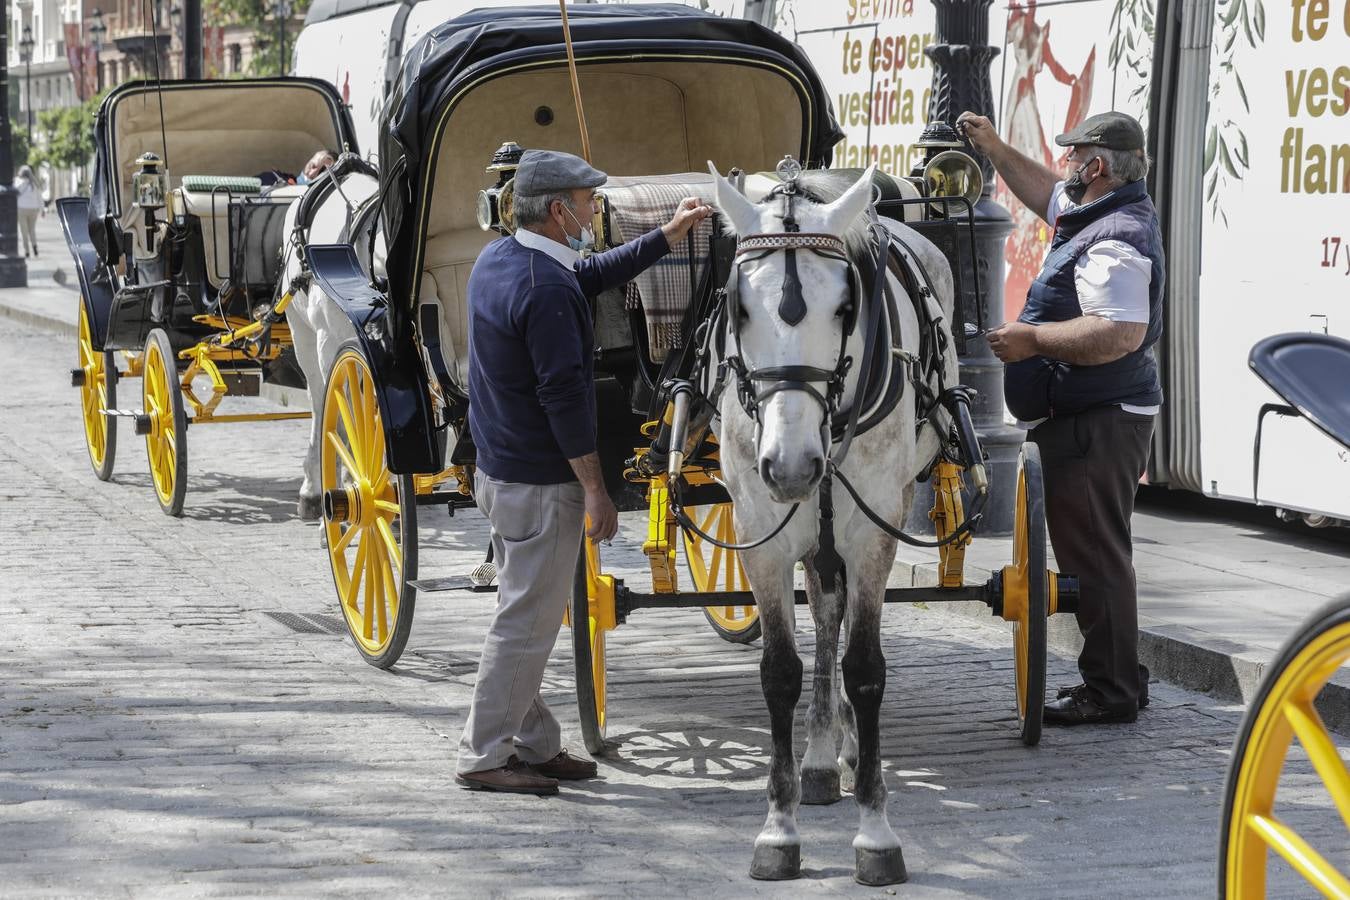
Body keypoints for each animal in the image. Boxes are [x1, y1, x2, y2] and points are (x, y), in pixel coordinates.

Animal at [707, 163, 961, 885]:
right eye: (738, 307)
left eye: (845, 308)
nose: (792, 464)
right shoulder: (760, 530)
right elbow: (780, 671)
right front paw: (779, 827)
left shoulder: (873, 528)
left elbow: (866, 667)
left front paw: (876, 832)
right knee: (824, 608)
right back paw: (820, 757)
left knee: (835, 615)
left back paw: (838, 751)